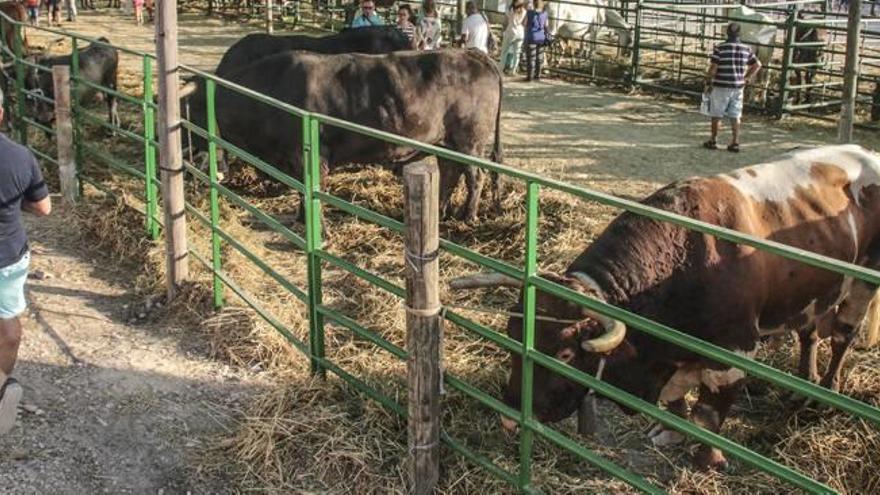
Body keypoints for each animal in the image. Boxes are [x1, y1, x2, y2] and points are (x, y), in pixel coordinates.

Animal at [186, 49, 502, 223]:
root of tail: (472, 53)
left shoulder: (310, 160)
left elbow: (311, 193)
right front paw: (300, 219)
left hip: (469, 141)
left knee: (475, 176)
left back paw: (467, 216)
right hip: (446, 142)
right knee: (451, 172)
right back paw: (442, 210)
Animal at [450, 145, 880, 470]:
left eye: (566, 354)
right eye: (513, 334)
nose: (510, 418)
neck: (685, 253)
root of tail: (865, 153)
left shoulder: (734, 351)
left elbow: (708, 414)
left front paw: (708, 459)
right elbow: (675, 400)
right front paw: (671, 430)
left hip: (864, 282)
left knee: (842, 335)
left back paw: (826, 391)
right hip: (814, 295)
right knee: (809, 332)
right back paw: (805, 383)